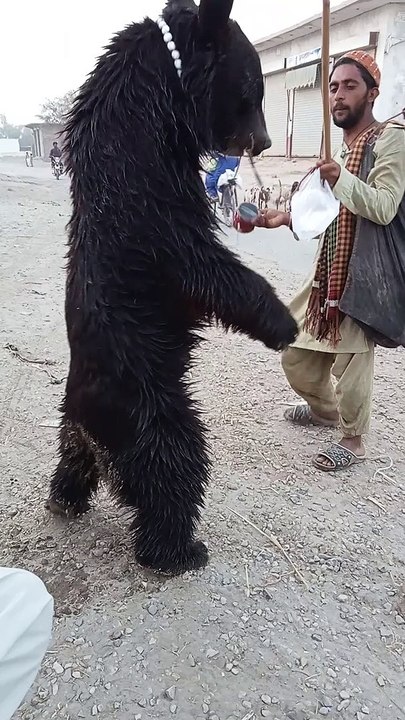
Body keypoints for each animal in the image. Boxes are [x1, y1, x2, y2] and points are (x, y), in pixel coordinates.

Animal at [46, 0, 298, 575]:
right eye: (252, 89)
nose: (265, 142)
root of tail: (90, 423)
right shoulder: (151, 208)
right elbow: (208, 269)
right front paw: (283, 323)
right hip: (150, 406)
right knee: (174, 464)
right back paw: (178, 550)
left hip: (75, 426)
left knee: (73, 459)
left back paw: (64, 498)